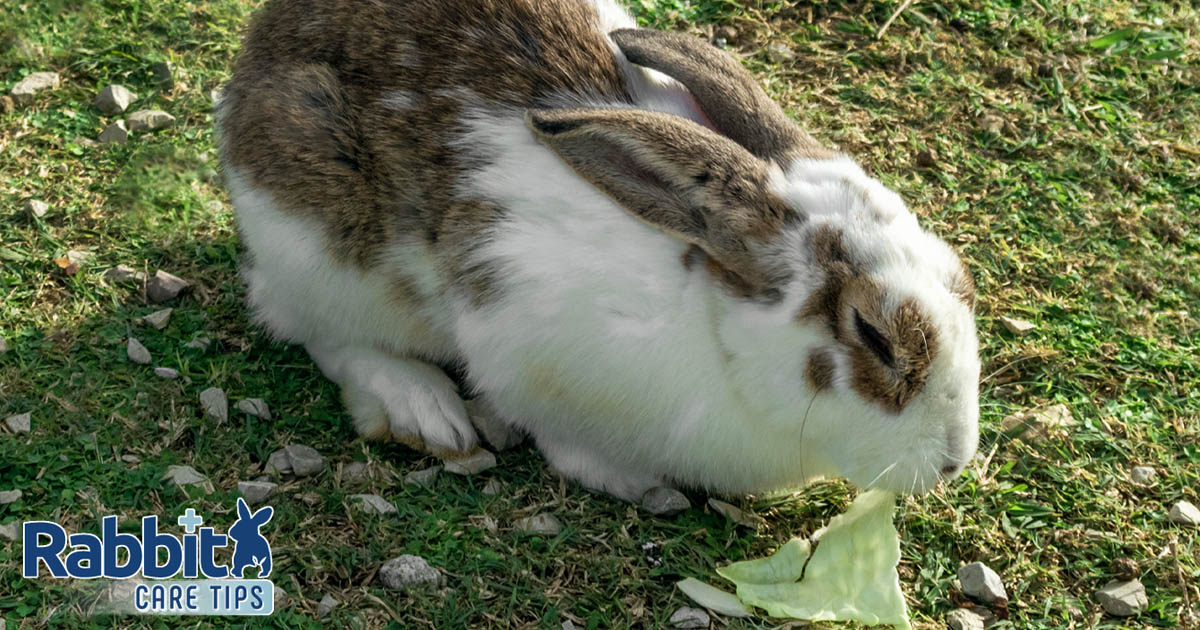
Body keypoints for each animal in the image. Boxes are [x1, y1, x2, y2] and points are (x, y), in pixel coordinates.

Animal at [220, 0, 979, 501]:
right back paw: (424, 409)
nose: (953, 462)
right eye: (874, 337)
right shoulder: (522, 337)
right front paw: (632, 480)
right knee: (314, 327)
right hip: (321, 245)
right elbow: (551, 426)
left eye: (958, 273)